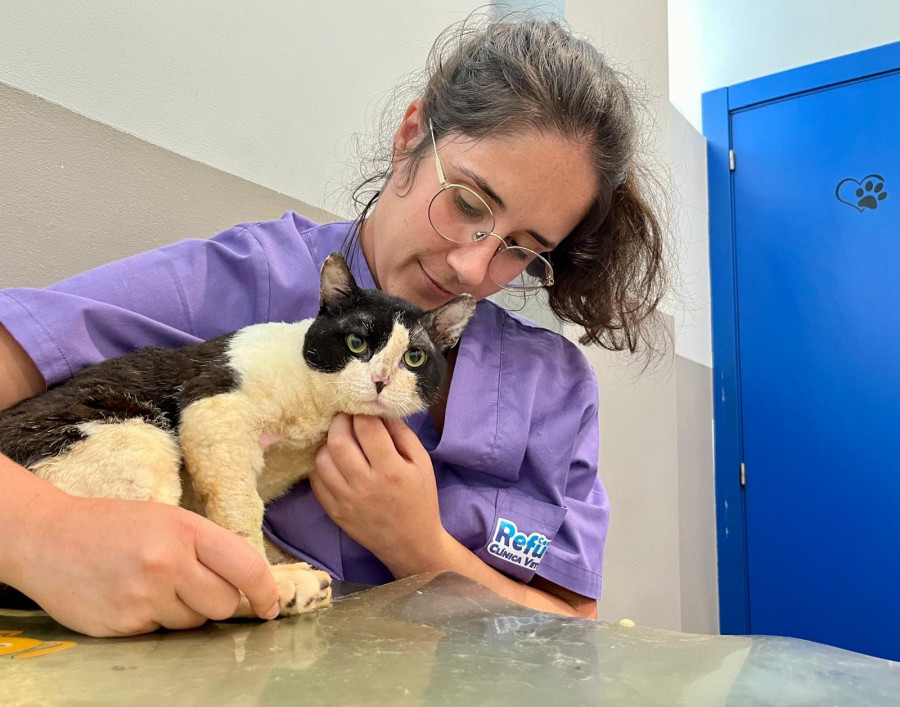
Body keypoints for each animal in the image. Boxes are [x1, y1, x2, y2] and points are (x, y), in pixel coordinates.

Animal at [0, 254, 478, 620]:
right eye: (356, 343)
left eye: (414, 358)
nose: (380, 381)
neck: (317, 416)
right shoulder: (213, 411)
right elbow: (241, 513)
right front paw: (271, 570)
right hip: (138, 440)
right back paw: (290, 585)